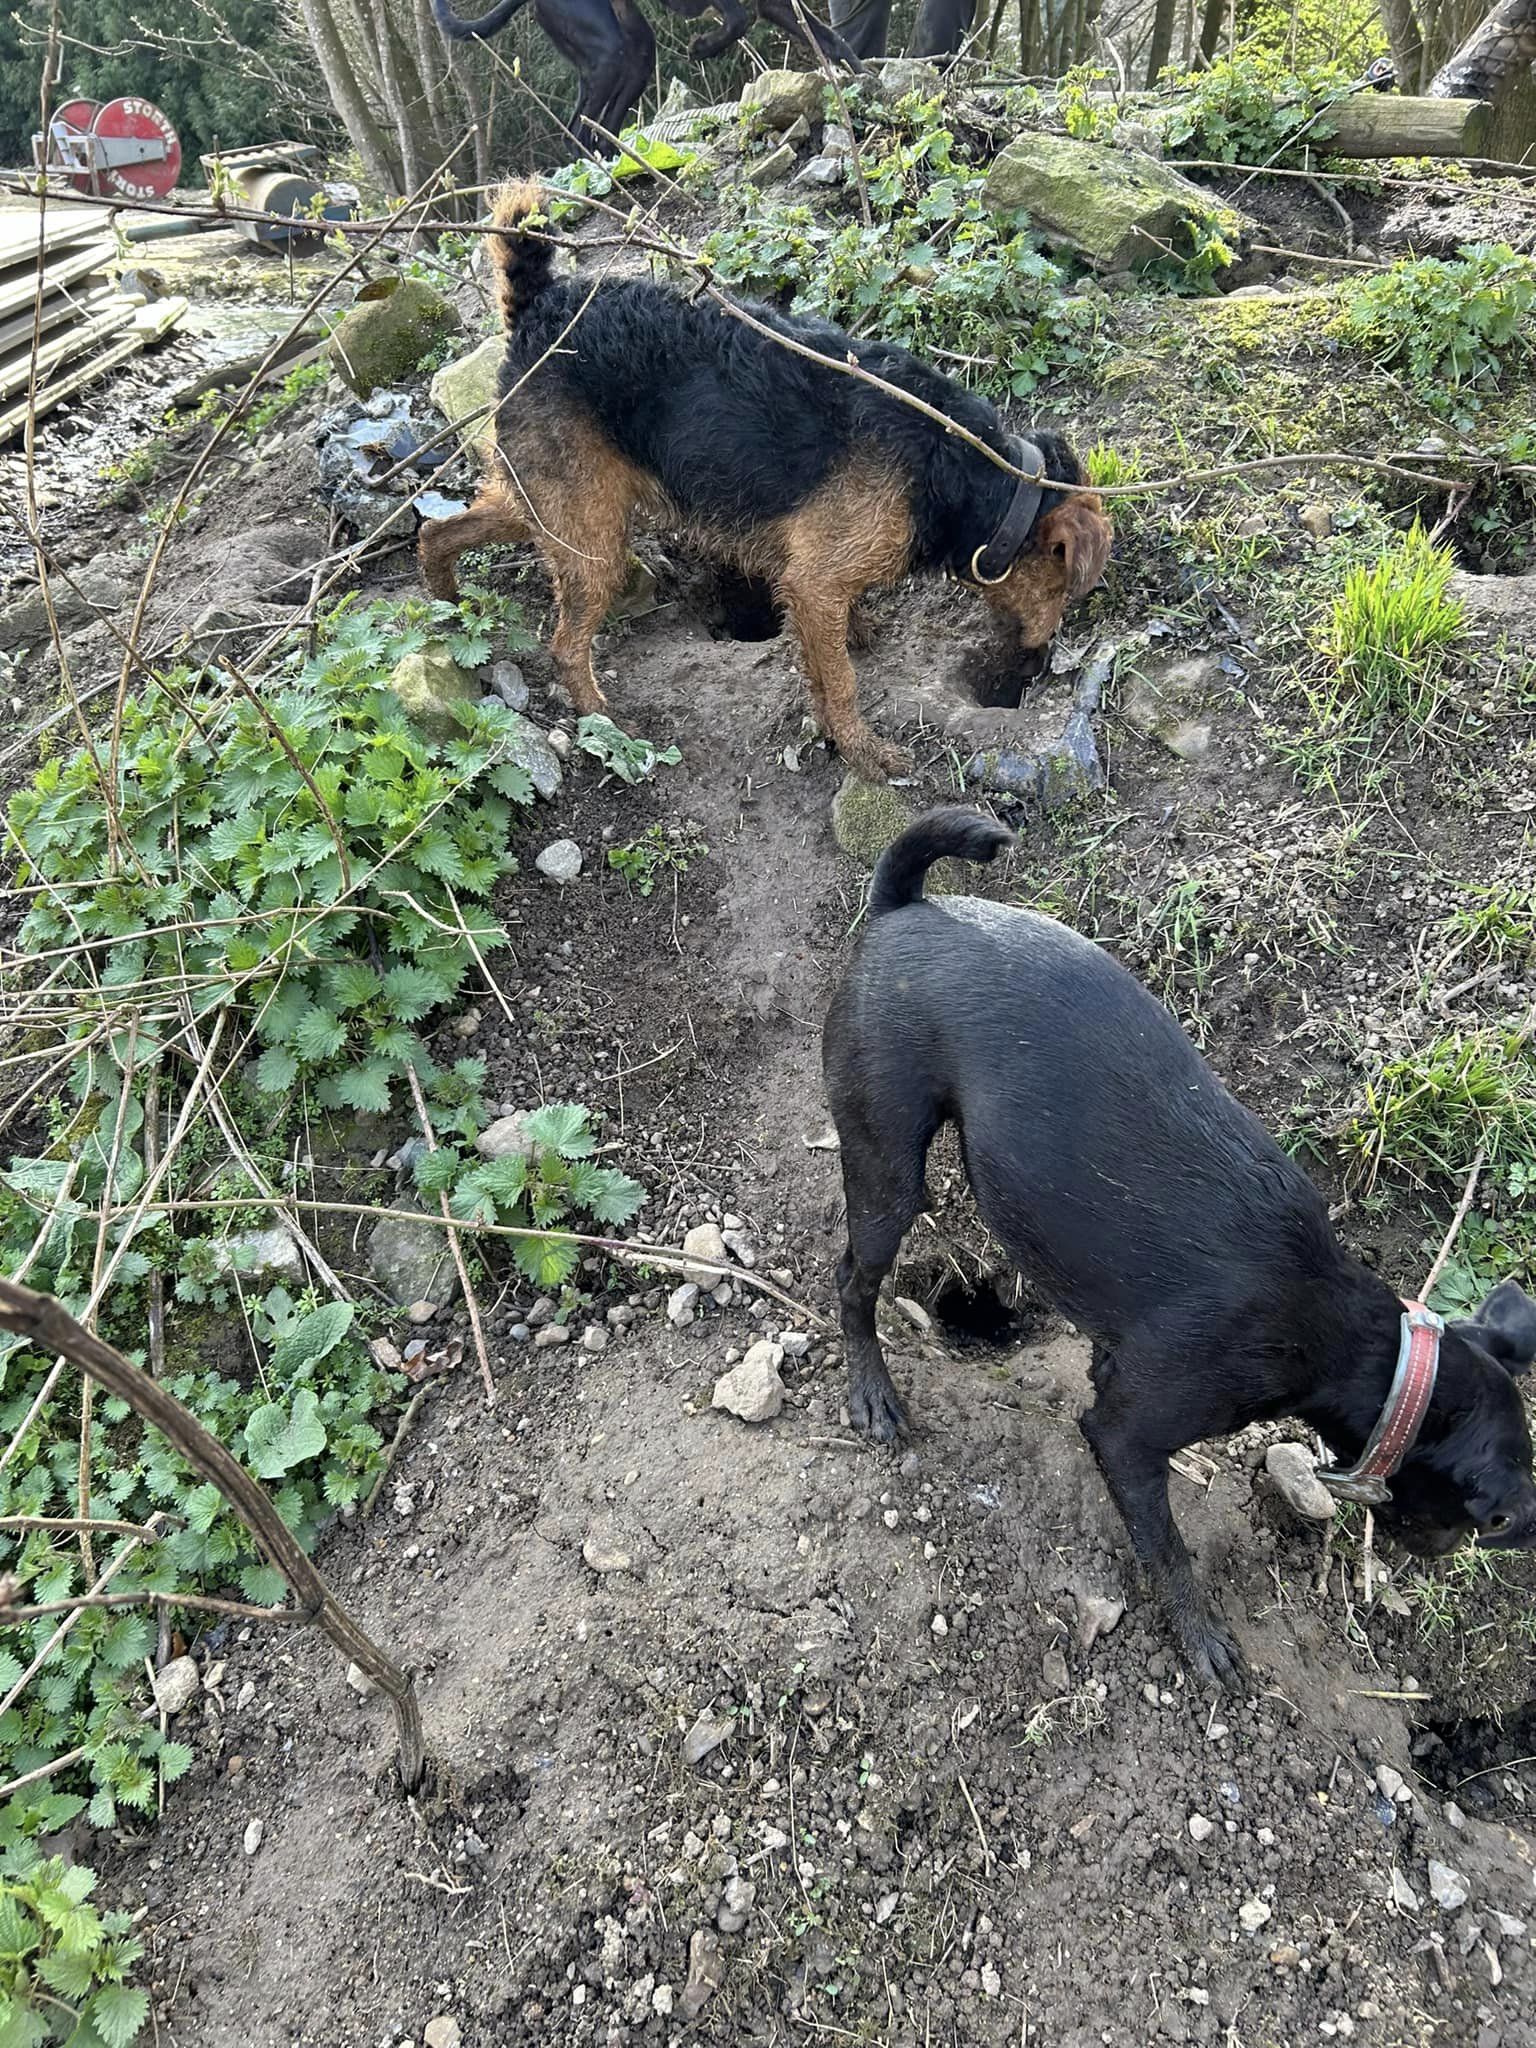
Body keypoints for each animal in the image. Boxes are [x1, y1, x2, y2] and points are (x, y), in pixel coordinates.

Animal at [823, 806, 1536, 1687]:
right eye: (1476, 1523)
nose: (1439, 1556)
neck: (1350, 1338)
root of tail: (903, 907)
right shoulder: (1129, 1440)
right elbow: (1166, 1549)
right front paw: (1199, 1636)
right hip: (887, 1165)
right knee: (853, 1280)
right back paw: (872, 1392)